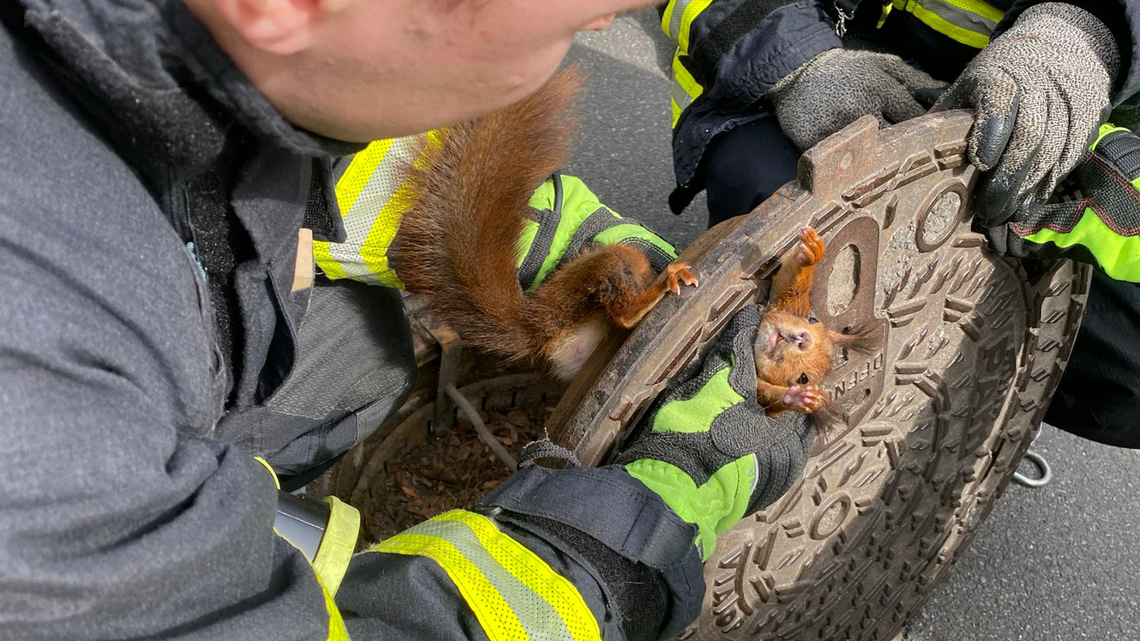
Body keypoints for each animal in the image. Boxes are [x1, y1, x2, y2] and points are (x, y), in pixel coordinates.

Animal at [754, 226, 870, 417]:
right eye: (812, 318)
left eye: (803, 378)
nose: (803, 339)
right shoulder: (785, 303)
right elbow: (787, 285)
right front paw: (813, 252)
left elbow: (765, 399)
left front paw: (797, 399)